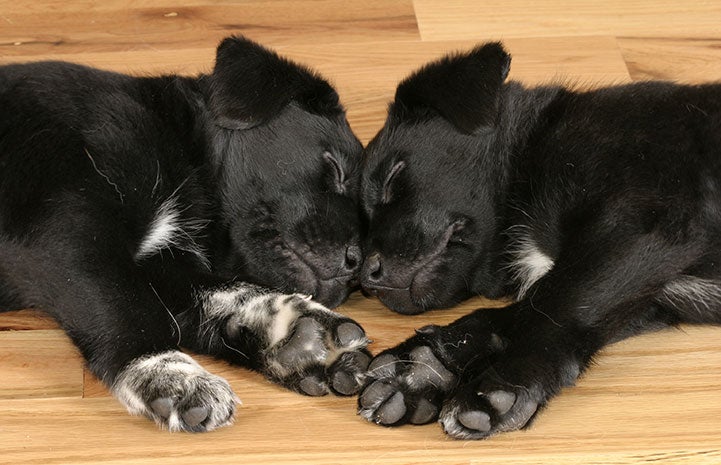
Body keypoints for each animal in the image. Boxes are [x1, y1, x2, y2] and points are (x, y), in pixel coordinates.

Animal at [0, 36, 368, 432]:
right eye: (336, 169)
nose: (355, 263)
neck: (178, 143)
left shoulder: (160, 260)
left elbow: (216, 291)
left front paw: (290, 332)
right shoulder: (69, 230)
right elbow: (123, 307)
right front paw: (166, 373)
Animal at [360, 43, 721, 438]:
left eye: (392, 178)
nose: (366, 276)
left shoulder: (641, 219)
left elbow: (553, 303)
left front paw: (499, 380)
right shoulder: (648, 294)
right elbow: (521, 313)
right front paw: (426, 367)